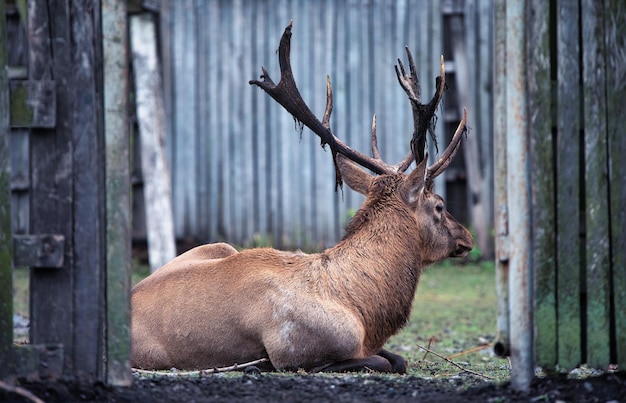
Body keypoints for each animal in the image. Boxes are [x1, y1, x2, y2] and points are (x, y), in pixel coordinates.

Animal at [133, 22, 472, 376]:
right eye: (440, 205)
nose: (467, 237)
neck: (364, 312)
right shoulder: (294, 351)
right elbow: (389, 361)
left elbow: (394, 357)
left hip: (218, 247)